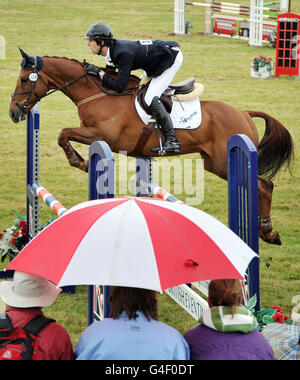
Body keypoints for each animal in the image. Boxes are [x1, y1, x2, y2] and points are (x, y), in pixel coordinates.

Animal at [8, 49, 292, 243]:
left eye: (24, 79)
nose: (13, 113)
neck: (97, 94)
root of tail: (244, 112)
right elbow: (63, 134)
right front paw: (81, 161)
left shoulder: (103, 135)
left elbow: (63, 134)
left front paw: (81, 162)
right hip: (213, 163)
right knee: (263, 184)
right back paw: (267, 232)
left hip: (225, 162)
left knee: (264, 185)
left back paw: (267, 231)